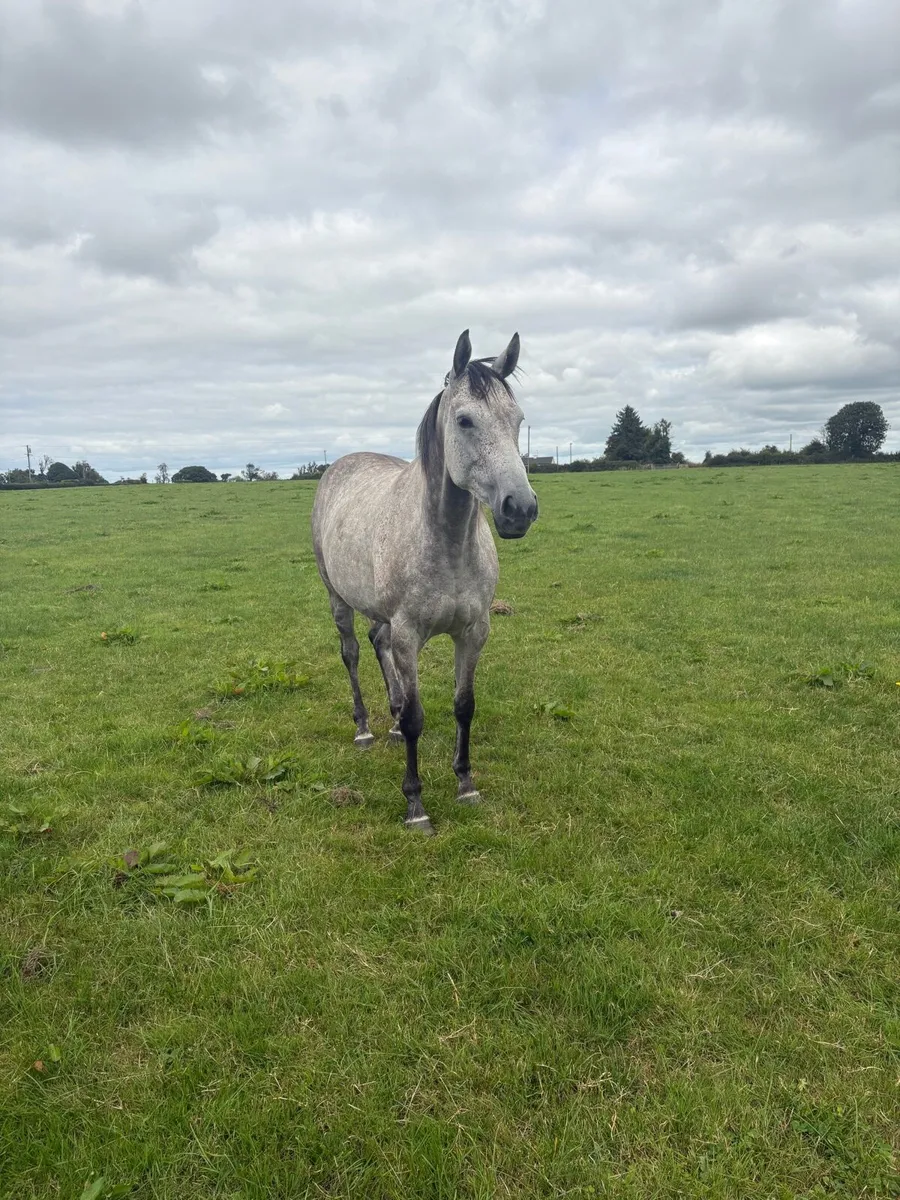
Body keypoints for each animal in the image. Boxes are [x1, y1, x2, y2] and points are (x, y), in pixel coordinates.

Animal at [311, 330, 539, 834]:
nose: (520, 509)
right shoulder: (409, 634)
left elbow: (463, 705)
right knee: (352, 652)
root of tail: (340, 465)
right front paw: (415, 804)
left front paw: (466, 784)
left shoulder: (473, 632)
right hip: (338, 599)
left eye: (518, 420)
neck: (447, 542)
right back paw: (365, 728)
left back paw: (391, 723)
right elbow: (418, 717)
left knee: (377, 642)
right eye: (465, 420)